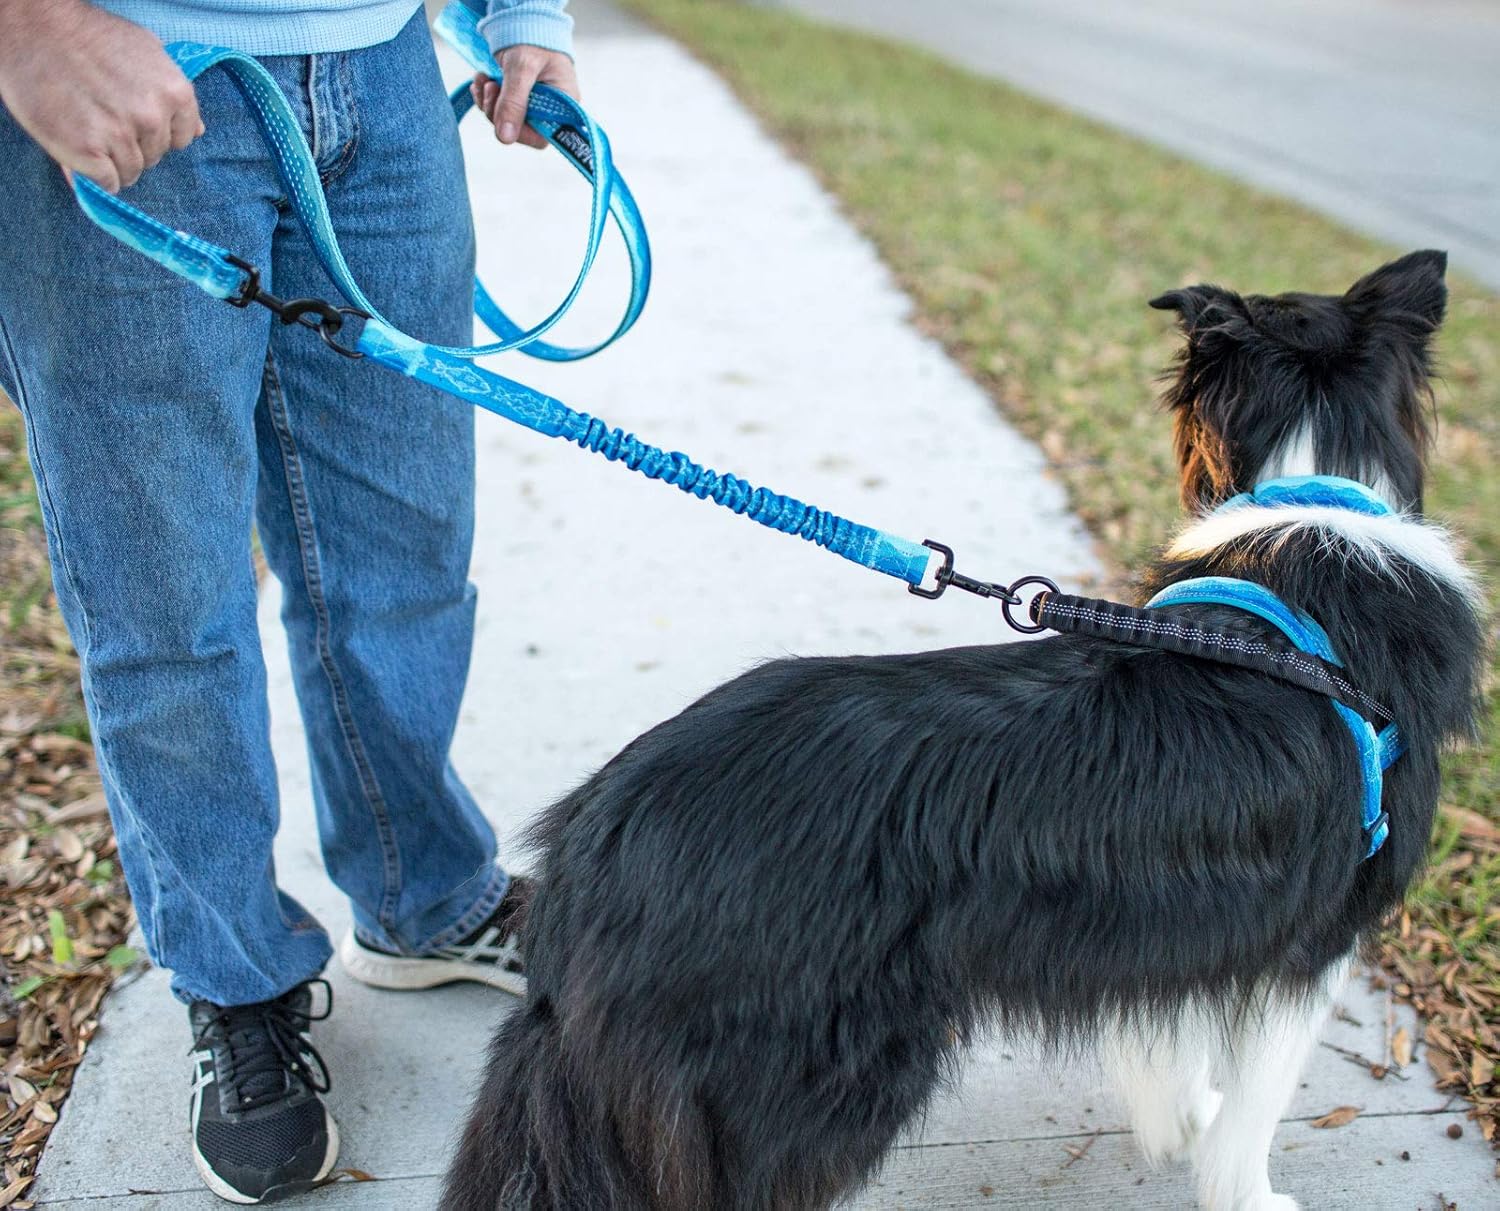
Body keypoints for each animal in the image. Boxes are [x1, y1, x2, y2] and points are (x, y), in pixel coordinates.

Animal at [438, 250, 1482, 1206]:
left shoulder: (1186, 921)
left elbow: (1172, 1041)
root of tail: (596, 842)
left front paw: (1179, 1121)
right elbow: (1257, 1105)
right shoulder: (1315, 937)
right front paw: (1249, 1190)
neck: (1315, 499)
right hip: (804, 1077)